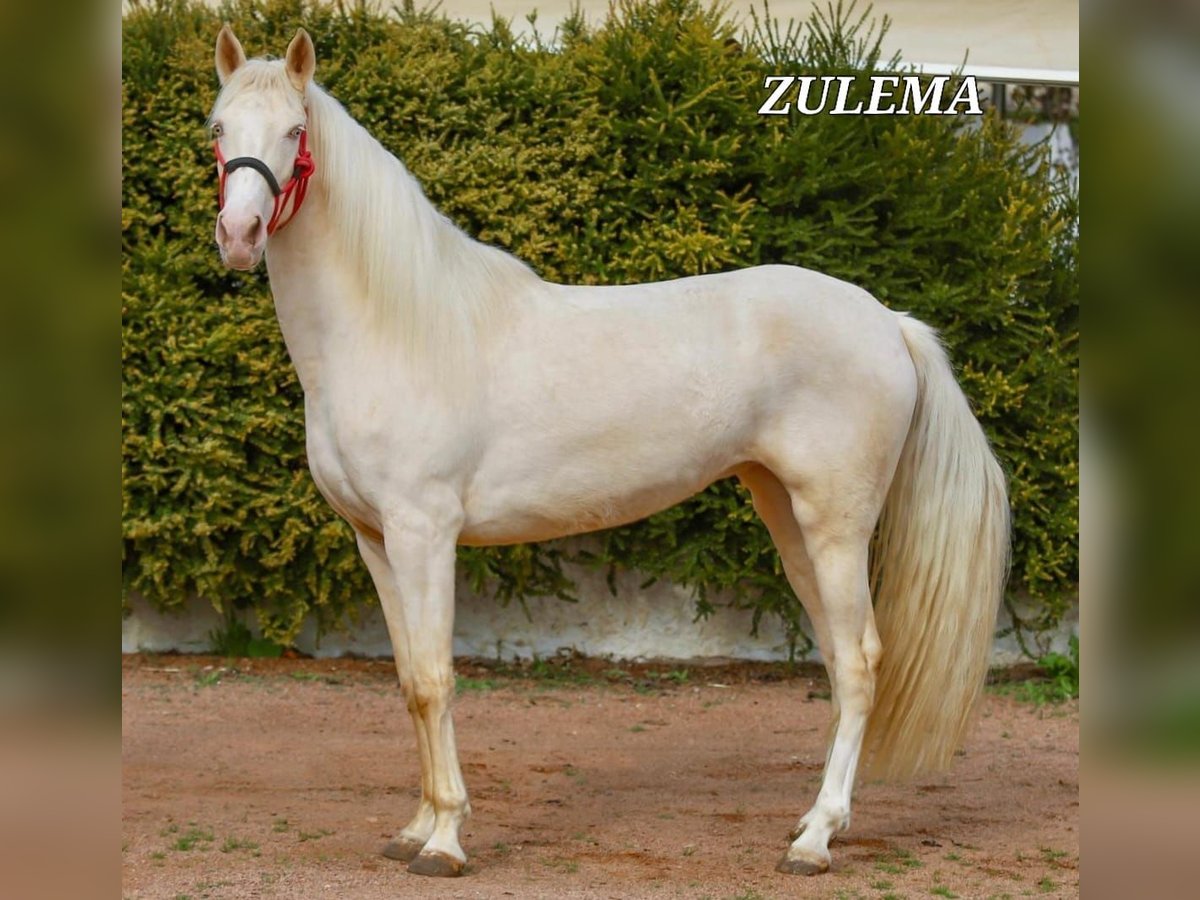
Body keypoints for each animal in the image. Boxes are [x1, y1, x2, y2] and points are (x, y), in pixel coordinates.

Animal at [208, 26, 1012, 883]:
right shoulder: (375, 541)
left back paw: (815, 841)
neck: (399, 328)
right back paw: (813, 820)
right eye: (219, 128)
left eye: (295, 131)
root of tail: (888, 321)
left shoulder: (424, 533)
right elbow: (408, 683)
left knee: (860, 663)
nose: (239, 236)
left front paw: (447, 839)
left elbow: (433, 679)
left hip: (837, 523)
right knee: (836, 656)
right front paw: (415, 826)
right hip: (788, 517)